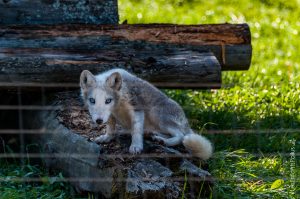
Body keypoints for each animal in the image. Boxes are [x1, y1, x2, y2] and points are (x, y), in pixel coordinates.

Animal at [78, 68, 212, 160]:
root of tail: (186, 122)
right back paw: (153, 136)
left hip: (156, 114)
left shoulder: (137, 109)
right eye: (92, 100)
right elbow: (110, 128)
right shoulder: (110, 114)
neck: (119, 102)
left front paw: (136, 147)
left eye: (108, 100)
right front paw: (106, 138)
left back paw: (163, 141)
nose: (99, 121)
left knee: (181, 136)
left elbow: (136, 131)